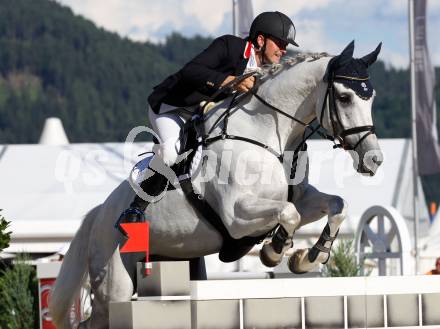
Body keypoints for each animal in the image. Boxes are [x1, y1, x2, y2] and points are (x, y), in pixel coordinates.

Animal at [50, 41, 382, 328]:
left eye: (371, 98)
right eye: (344, 97)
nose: (374, 160)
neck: (267, 133)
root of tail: (100, 212)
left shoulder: (302, 197)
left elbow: (336, 205)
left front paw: (309, 257)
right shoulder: (237, 215)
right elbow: (289, 213)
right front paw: (274, 252)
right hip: (114, 282)